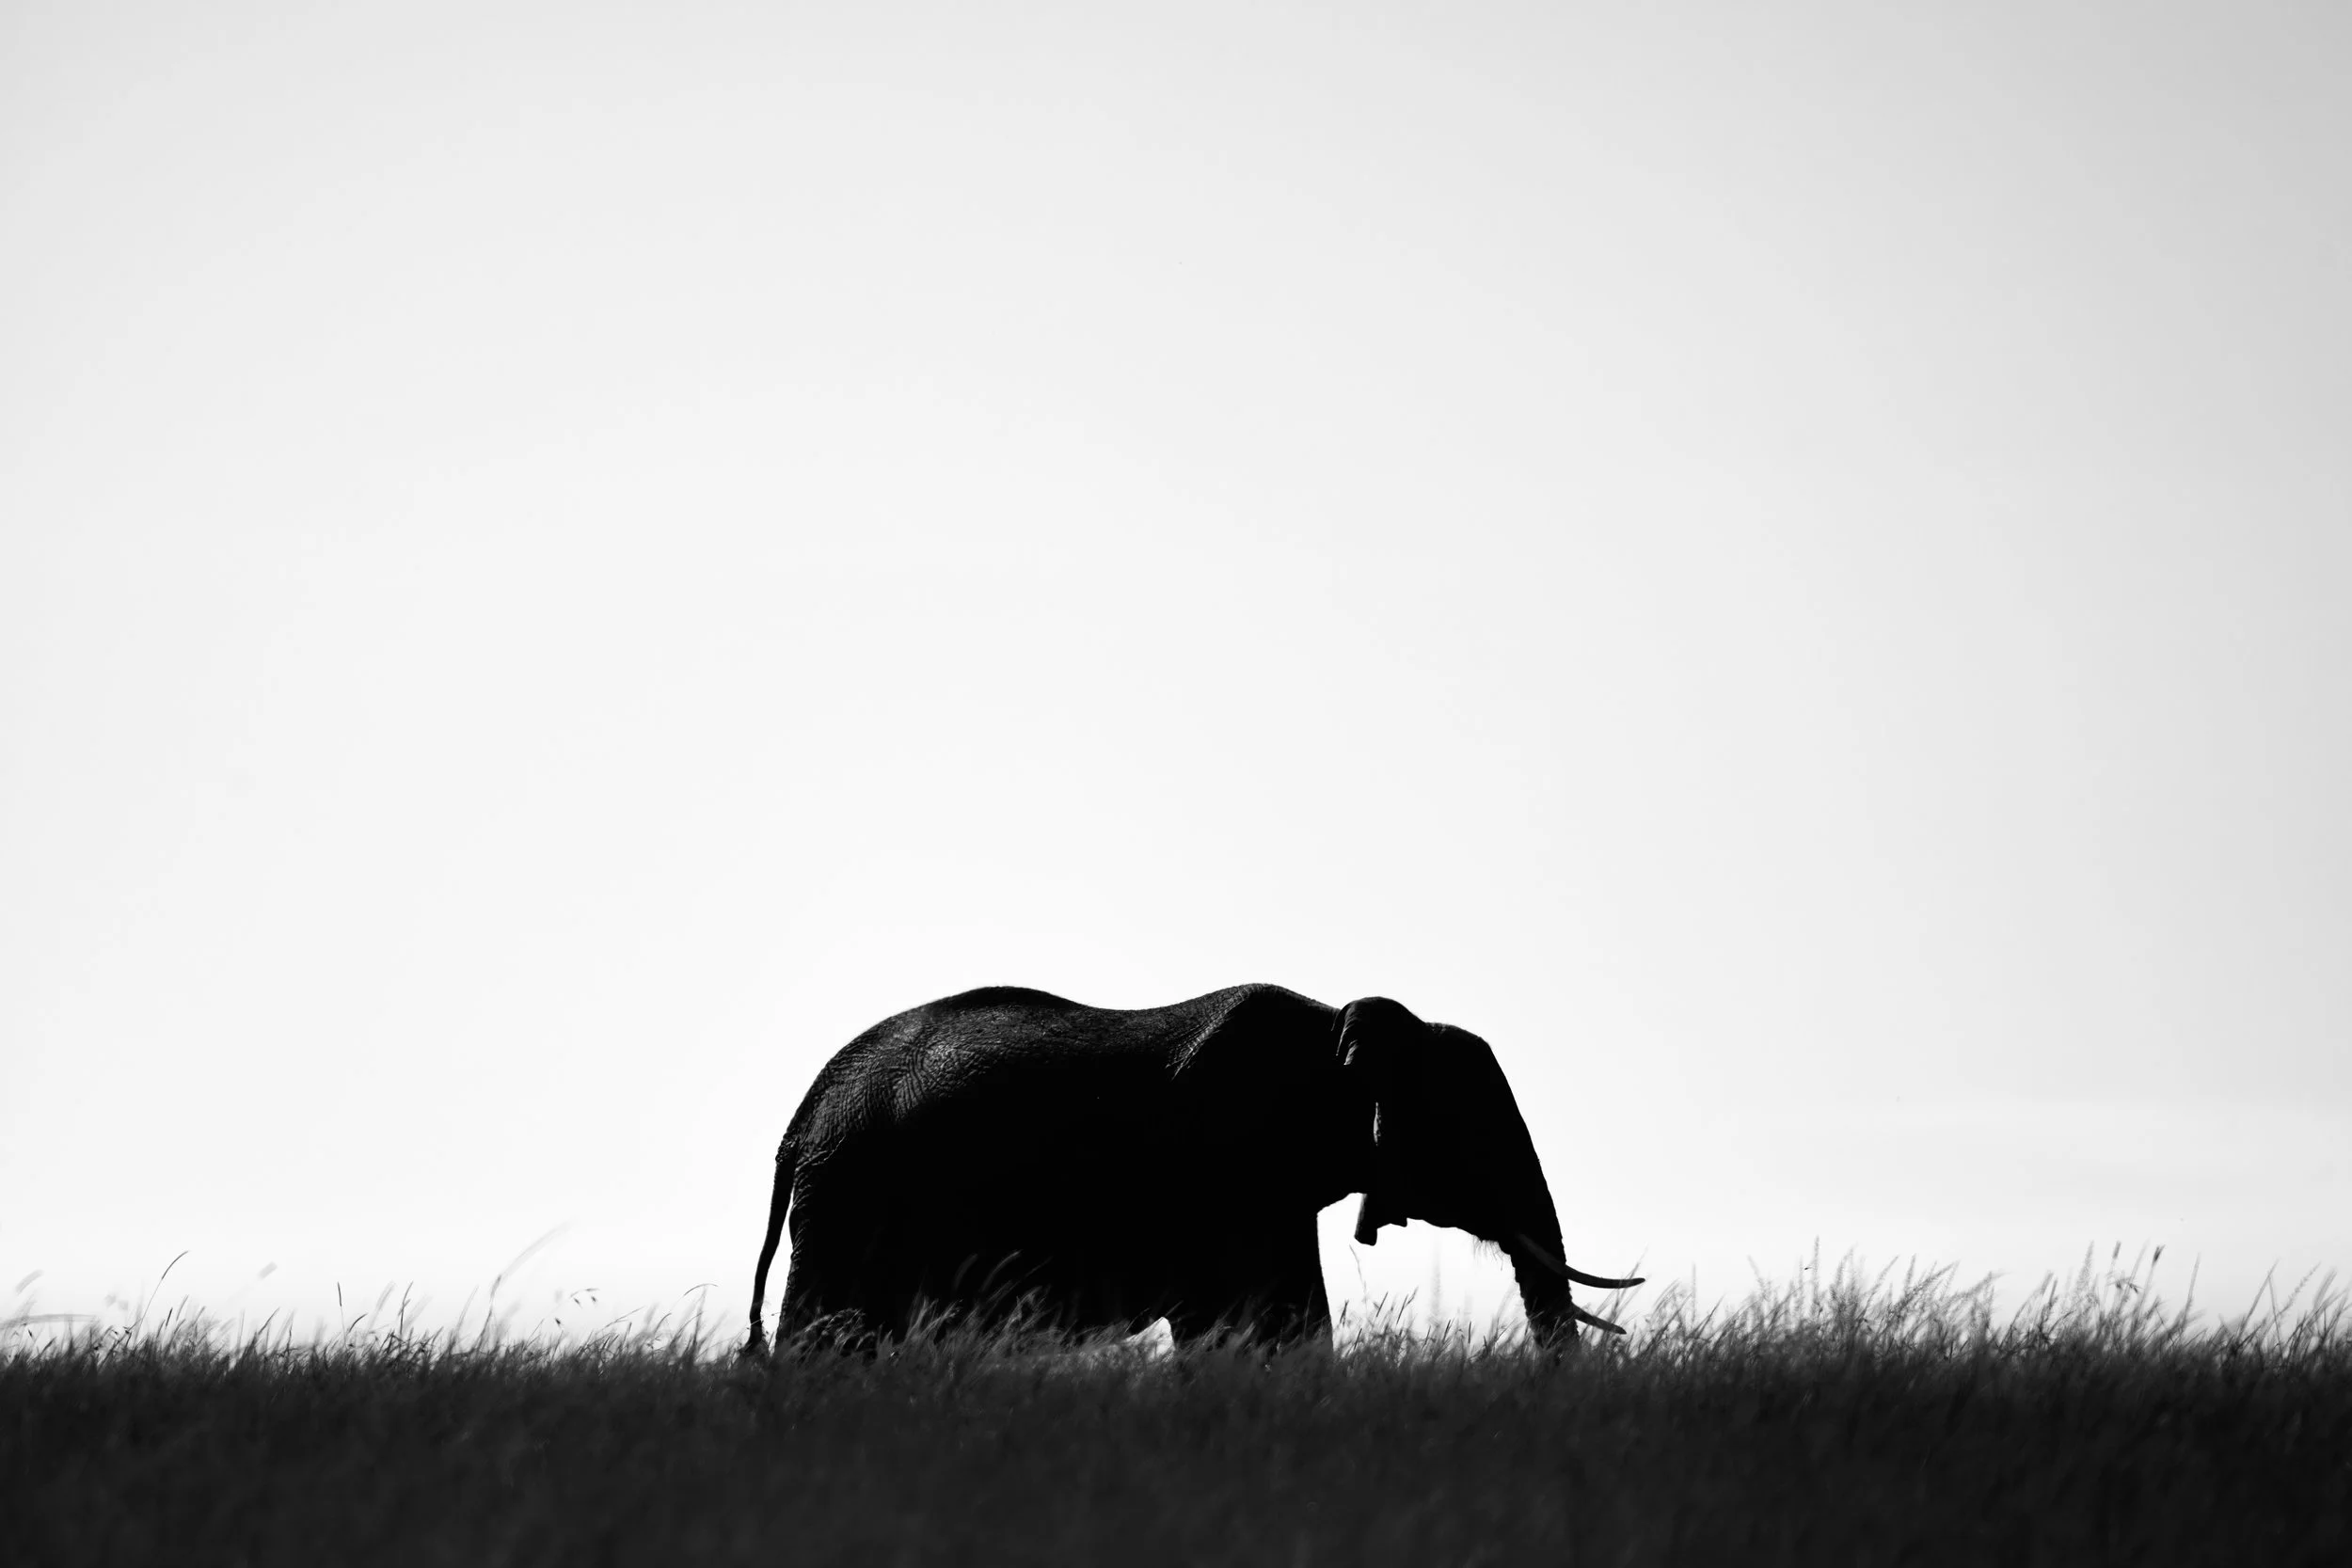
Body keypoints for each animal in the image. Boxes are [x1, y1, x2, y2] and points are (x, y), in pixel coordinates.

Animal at [743, 983, 1639, 1354]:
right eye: (1473, 1134)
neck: (1341, 1026)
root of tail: (798, 1121)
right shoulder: (1233, 1165)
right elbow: (1254, 1327)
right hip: (850, 1195)